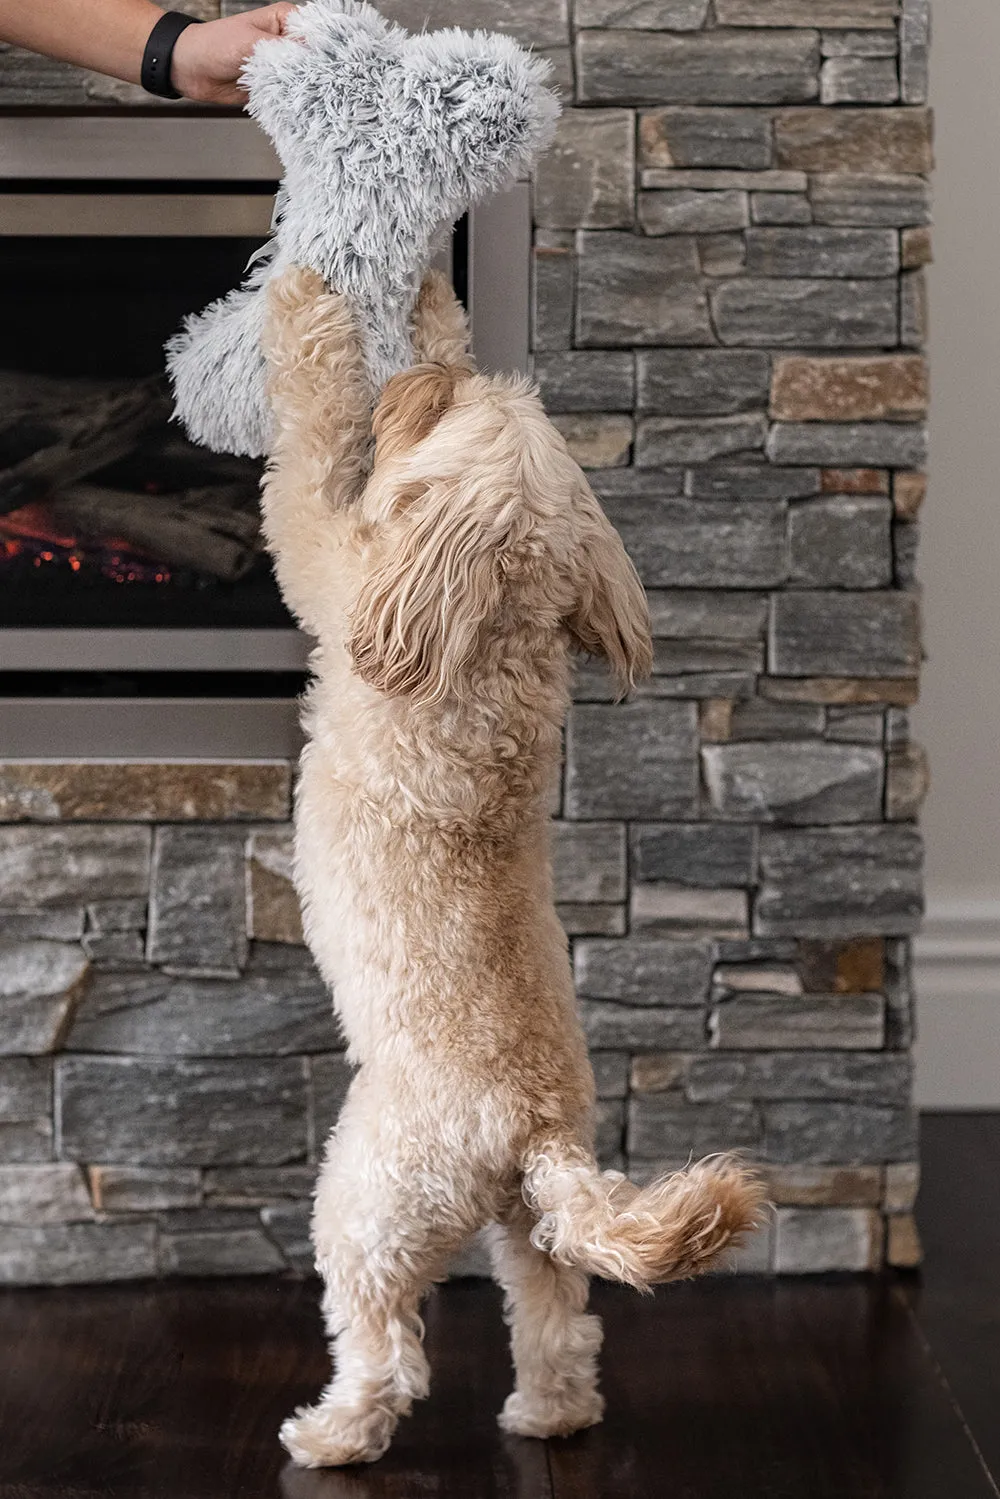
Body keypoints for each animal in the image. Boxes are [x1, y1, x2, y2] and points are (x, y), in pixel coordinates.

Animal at [260, 263, 767, 1469]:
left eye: (439, 416)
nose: (418, 377)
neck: (494, 639)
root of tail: (533, 1128)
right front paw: (427, 302)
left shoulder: (341, 569)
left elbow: (307, 469)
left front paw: (309, 312)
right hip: (528, 1228)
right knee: (558, 1320)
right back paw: (549, 1413)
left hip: (368, 1200)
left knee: (386, 1345)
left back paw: (333, 1433)